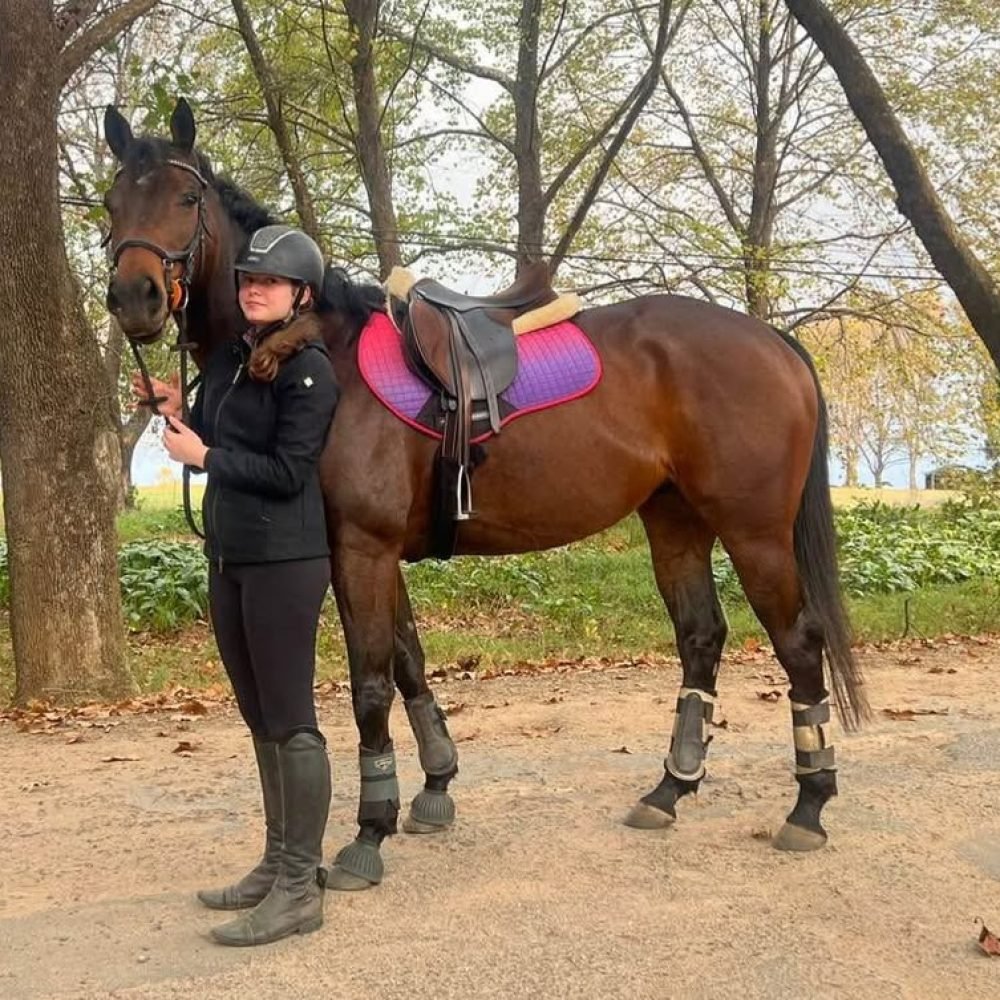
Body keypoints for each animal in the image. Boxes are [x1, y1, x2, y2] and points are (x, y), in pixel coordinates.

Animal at [101, 98, 867, 891]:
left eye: (186, 200)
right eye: (111, 202)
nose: (133, 296)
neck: (319, 350)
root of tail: (772, 341)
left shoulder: (361, 550)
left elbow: (370, 684)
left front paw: (368, 833)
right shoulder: (374, 553)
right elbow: (408, 660)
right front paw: (435, 785)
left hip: (755, 533)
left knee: (798, 644)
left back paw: (808, 804)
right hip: (675, 522)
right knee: (701, 637)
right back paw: (670, 789)